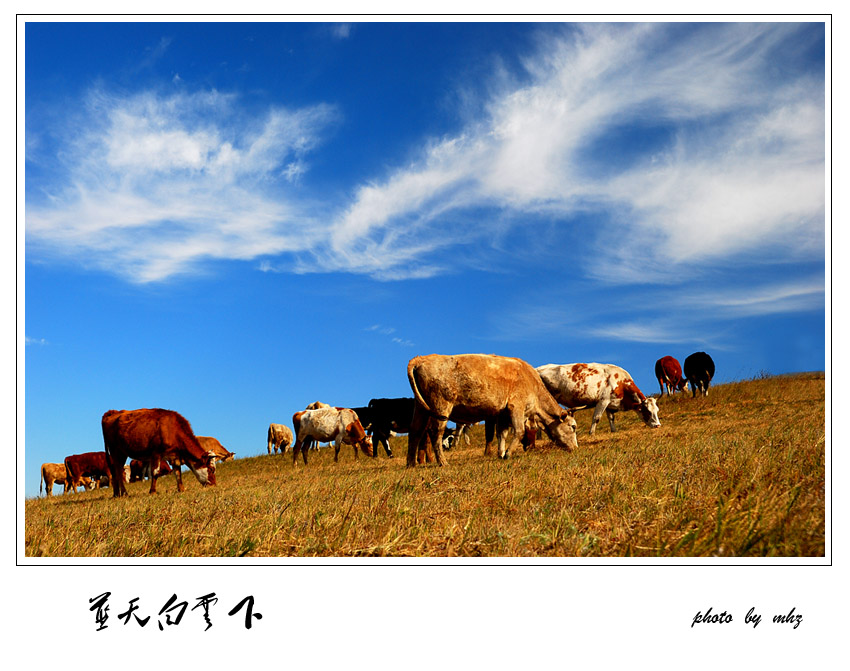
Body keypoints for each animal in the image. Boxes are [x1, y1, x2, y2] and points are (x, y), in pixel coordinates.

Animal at [404, 352, 576, 468]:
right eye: (573, 427)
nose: (575, 448)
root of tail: (422, 358)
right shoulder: (516, 407)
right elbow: (519, 431)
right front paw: (508, 453)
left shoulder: (503, 413)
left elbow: (502, 433)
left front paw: (501, 453)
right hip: (441, 405)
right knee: (435, 432)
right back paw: (443, 462)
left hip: (420, 408)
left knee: (415, 431)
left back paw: (411, 464)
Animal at [532, 362, 660, 436]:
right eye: (647, 411)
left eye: (657, 410)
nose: (658, 425)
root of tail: (537, 369)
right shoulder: (603, 400)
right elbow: (596, 418)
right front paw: (592, 433)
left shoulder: (610, 403)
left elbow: (611, 418)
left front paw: (613, 431)